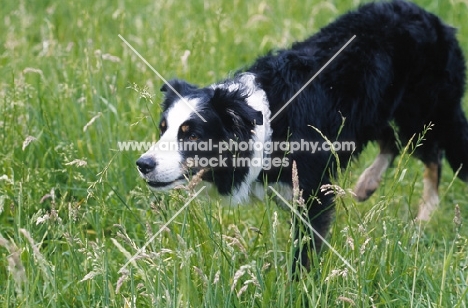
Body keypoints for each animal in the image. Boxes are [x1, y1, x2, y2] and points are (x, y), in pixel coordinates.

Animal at [135, 0, 468, 270]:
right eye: (163, 129)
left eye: (191, 135)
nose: (143, 164)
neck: (265, 123)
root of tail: (435, 20)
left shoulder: (313, 188)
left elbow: (306, 247)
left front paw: (300, 286)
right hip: (376, 111)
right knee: (393, 140)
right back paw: (367, 186)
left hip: (424, 110)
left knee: (433, 153)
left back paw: (422, 217)